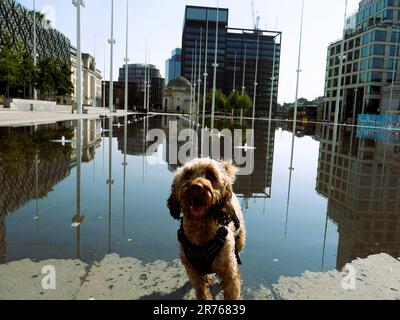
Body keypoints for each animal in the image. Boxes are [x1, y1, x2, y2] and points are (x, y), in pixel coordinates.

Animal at [166, 158, 244, 300]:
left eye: (210, 175)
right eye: (187, 174)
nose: (196, 187)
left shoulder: (229, 273)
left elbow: (231, 292)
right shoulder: (192, 270)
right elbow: (201, 290)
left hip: (240, 240)